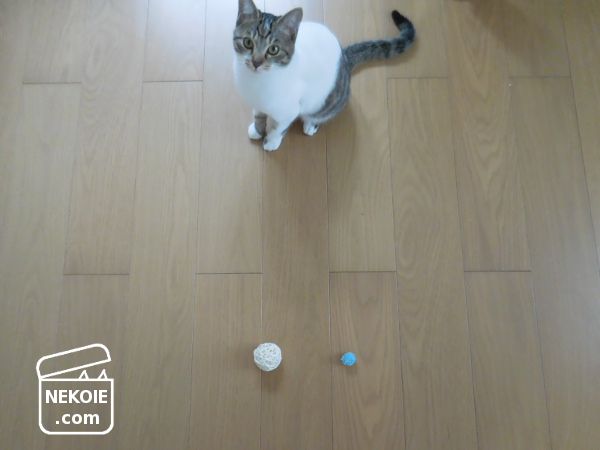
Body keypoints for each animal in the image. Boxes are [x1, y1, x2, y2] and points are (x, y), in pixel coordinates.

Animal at [233, 0, 415, 151]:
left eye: (273, 50)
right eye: (248, 42)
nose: (256, 62)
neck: (258, 82)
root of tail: (344, 57)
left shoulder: (289, 111)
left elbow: (279, 128)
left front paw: (271, 141)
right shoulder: (257, 102)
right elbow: (258, 114)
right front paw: (257, 130)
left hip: (327, 101)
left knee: (320, 113)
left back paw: (311, 124)